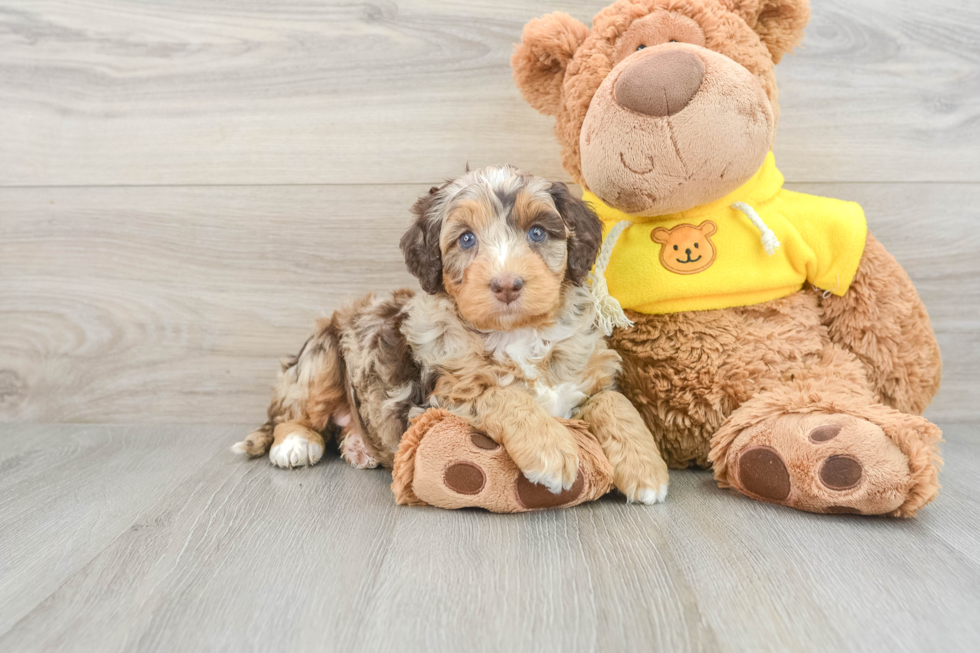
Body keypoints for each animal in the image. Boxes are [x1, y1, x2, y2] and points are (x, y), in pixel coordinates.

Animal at [234, 166, 668, 502]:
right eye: (466, 239)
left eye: (538, 233)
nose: (507, 284)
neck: (517, 335)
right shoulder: (438, 399)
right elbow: (501, 394)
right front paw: (551, 450)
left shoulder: (588, 379)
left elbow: (616, 404)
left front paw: (647, 470)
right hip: (321, 358)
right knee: (289, 412)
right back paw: (295, 444)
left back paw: (358, 446)